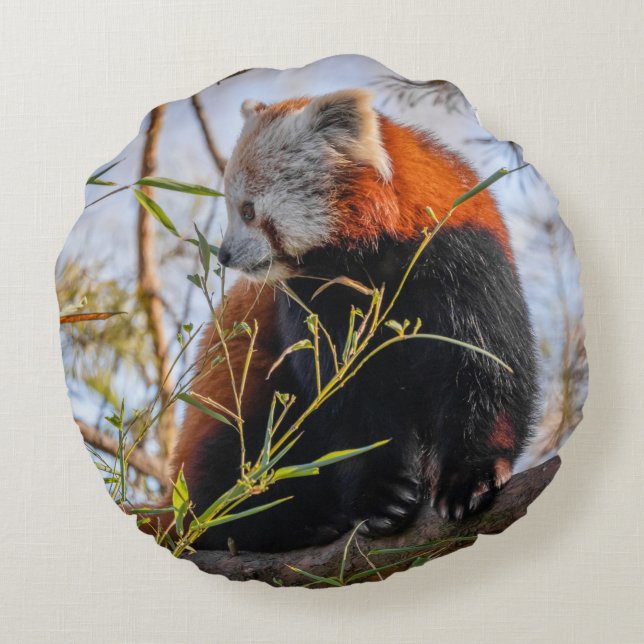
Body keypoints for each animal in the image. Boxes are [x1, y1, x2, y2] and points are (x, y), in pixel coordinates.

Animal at [149, 88, 538, 553]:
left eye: (247, 211)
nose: (223, 256)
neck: (371, 258)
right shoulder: (313, 302)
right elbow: (345, 400)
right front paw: (381, 499)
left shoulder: (463, 257)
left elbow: (485, 368)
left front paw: (470, 477)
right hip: (227, 407)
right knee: (230, 462)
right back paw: (287, 523)